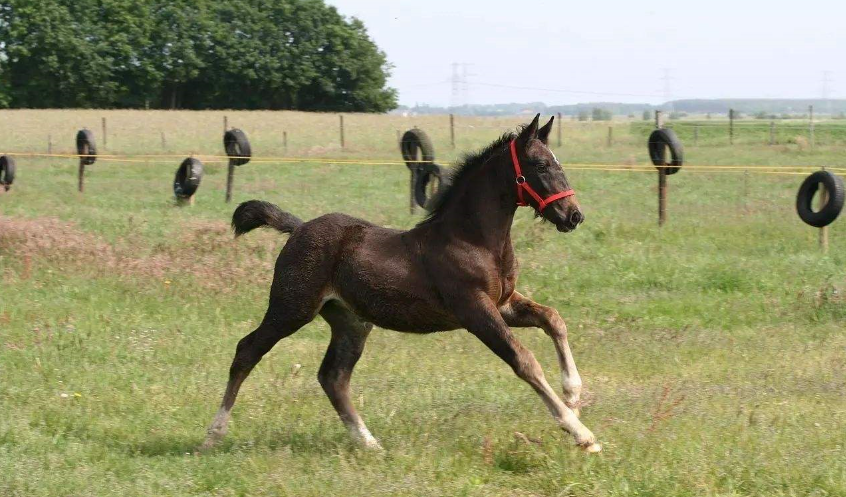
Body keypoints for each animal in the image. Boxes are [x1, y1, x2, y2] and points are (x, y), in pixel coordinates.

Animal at [201, 114, 600, 453]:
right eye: (539, 165)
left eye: (559, 163)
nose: (573, 216)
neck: (473, 239)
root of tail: (297, 227)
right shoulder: (474, 310)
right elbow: (524, 360)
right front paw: (580, 432)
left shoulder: (503, 303)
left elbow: (553, 318)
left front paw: (573, 395)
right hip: (292, 307)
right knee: (247, 351)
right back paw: (212, 435)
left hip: (351, 322)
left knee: (333, 377)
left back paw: (369, 443)